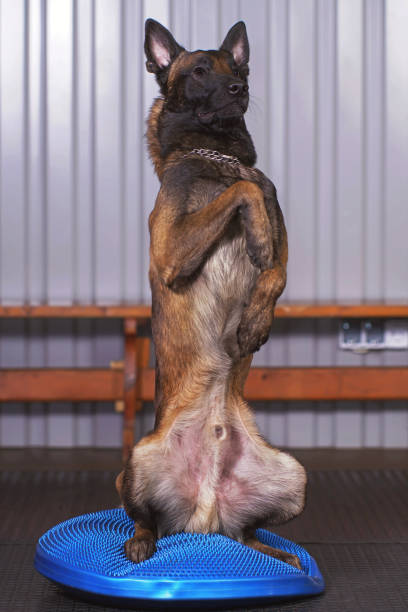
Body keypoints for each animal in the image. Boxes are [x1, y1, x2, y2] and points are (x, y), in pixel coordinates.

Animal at [115, 16, 306, 568]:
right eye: (200, 71)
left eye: (239, 69)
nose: (239, 89)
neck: (221, 156)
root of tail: (202, 516)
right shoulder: (170, 255)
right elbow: (243, 192)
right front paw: (252, 224)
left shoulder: (284, 253)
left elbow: (273, 267)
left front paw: (255, 322)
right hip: (133, 462)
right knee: (146, 519)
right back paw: (141, 541)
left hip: (294, 475)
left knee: (244, 532)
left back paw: (275, 554)